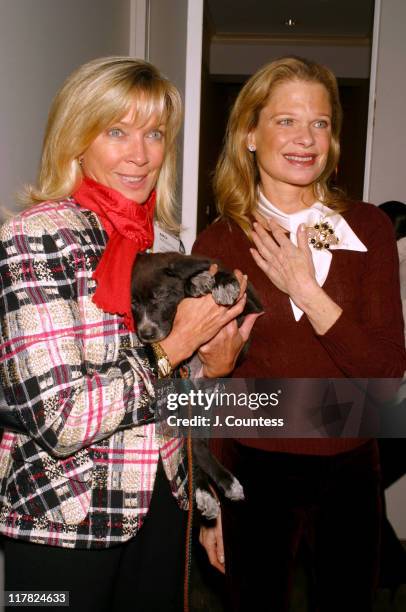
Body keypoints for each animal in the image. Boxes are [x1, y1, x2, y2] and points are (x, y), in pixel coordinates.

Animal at [132, 251, 262, 520]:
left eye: (159, 296)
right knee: (195, 447)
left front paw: (219, 283)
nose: (145, 334)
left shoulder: (252, 304)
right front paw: (198, 283)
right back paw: (215, 488)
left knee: (196, 444)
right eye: (134, 304)